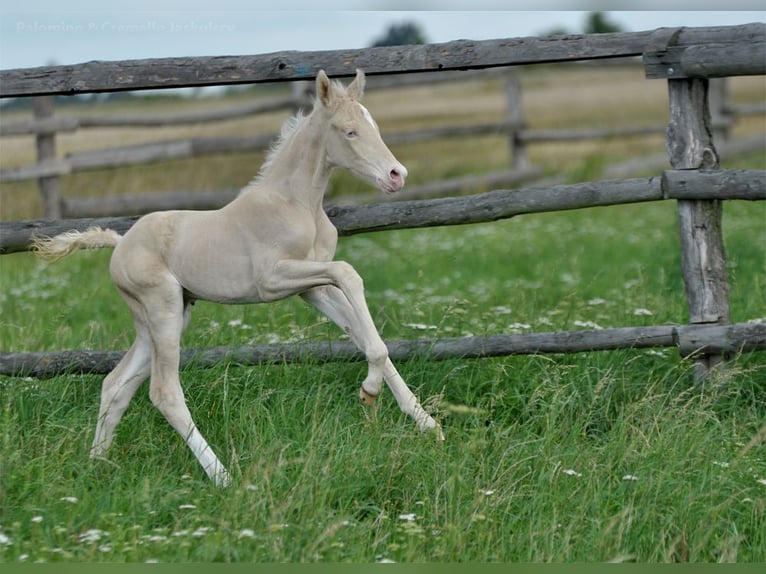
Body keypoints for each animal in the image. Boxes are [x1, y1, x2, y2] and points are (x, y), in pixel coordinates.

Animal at [33, 69, 443, 487]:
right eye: (349, 132)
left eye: (374, 125)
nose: (396, 175)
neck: (298, 204)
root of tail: (119, 244)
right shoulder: (274, 279)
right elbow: (350, 274)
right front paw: (371, 391)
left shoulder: (313, 289)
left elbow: (364, 335)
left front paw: (425, 422)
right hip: (162, 308)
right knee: (163, 392)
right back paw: (222, 478)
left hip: (163, 317)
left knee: (115, 384)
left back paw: (95, 467)